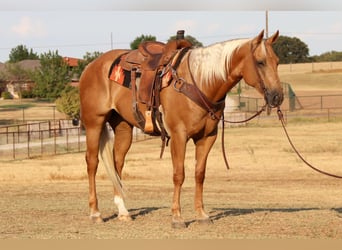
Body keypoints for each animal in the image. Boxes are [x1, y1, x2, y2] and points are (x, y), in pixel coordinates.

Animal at [79, 30, 284, 228]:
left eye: (277, 62)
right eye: (260, 62)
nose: (277, 97)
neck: (201, 82)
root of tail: (91, 67)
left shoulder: (207, 137)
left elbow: (199, 174)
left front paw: (202, 215)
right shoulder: (178, 136)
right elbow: (179, 175)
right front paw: (177, 217)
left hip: (123, 127)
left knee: (117, 164)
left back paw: (123, 212)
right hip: (94, 123)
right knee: (92, 163)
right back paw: (95, 213)